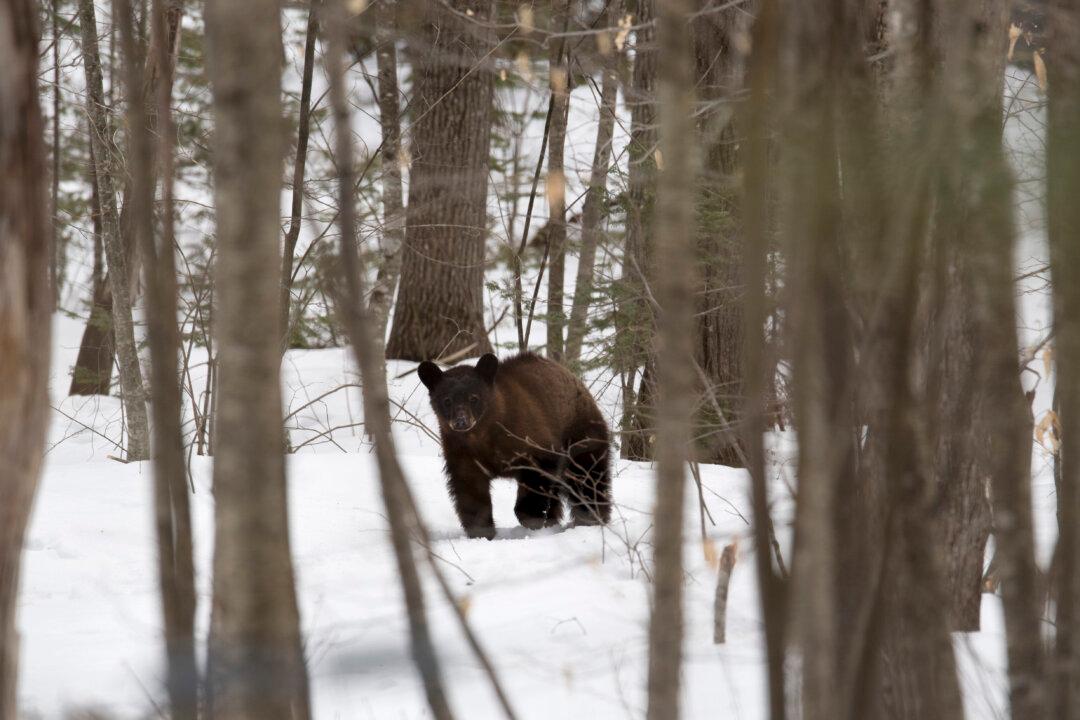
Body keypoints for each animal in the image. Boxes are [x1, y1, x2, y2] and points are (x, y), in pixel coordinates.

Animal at [417, 352, 612, 539]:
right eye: (447, 400)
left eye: (474, 398)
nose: (461, 422)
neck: (483, 435)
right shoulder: (462, 454)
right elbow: (470, 491)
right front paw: (481, 532)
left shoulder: (530, 439)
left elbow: (538, 475)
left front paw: (530, 516)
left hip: (580, 433)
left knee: (588, 477)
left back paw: (591, 518)